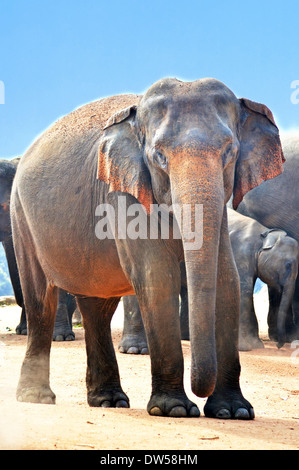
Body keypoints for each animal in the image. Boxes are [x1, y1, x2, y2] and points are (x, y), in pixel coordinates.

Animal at [10, 76, 284, 418]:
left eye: (230, 151)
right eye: (159, 157)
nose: (201, 394)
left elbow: (227, 281)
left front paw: (233, 412)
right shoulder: (124, 192)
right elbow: (157, 279)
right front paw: (175, 410)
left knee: (97, 307)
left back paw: (109, 401)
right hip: (21, 217)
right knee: (40, 301)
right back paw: (36, 397)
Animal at [229, 207, 298, 350]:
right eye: (288, 265)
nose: (278, 346)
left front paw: (256, 345)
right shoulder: (241, 254)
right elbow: (244, 289)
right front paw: (246, 348)